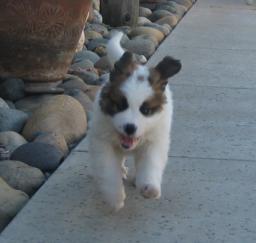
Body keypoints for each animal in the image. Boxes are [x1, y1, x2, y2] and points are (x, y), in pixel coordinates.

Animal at [89, 32, 181, 211]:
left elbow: (150, 164)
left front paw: (149, 187)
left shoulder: (155, 141)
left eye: (145, 110)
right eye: (120, 105)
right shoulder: (102, 142)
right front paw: (115, 197)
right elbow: (109, 170)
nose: (130, 128)